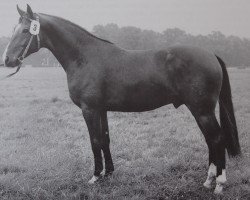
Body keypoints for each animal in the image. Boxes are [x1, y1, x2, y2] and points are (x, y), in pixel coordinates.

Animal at [1, 5, 240, 195]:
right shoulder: (101, 109)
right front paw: (109, 173)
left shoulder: (89, 109)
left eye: (25, 30)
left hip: (202, 110)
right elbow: (105, 139)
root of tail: (211, 54)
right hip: (201, 111)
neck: (85, 57)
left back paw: (219, 183)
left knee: (217, 139)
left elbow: (94, 141)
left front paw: (95, 176)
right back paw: (208, 181)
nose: (7, 60)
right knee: (210, 140)